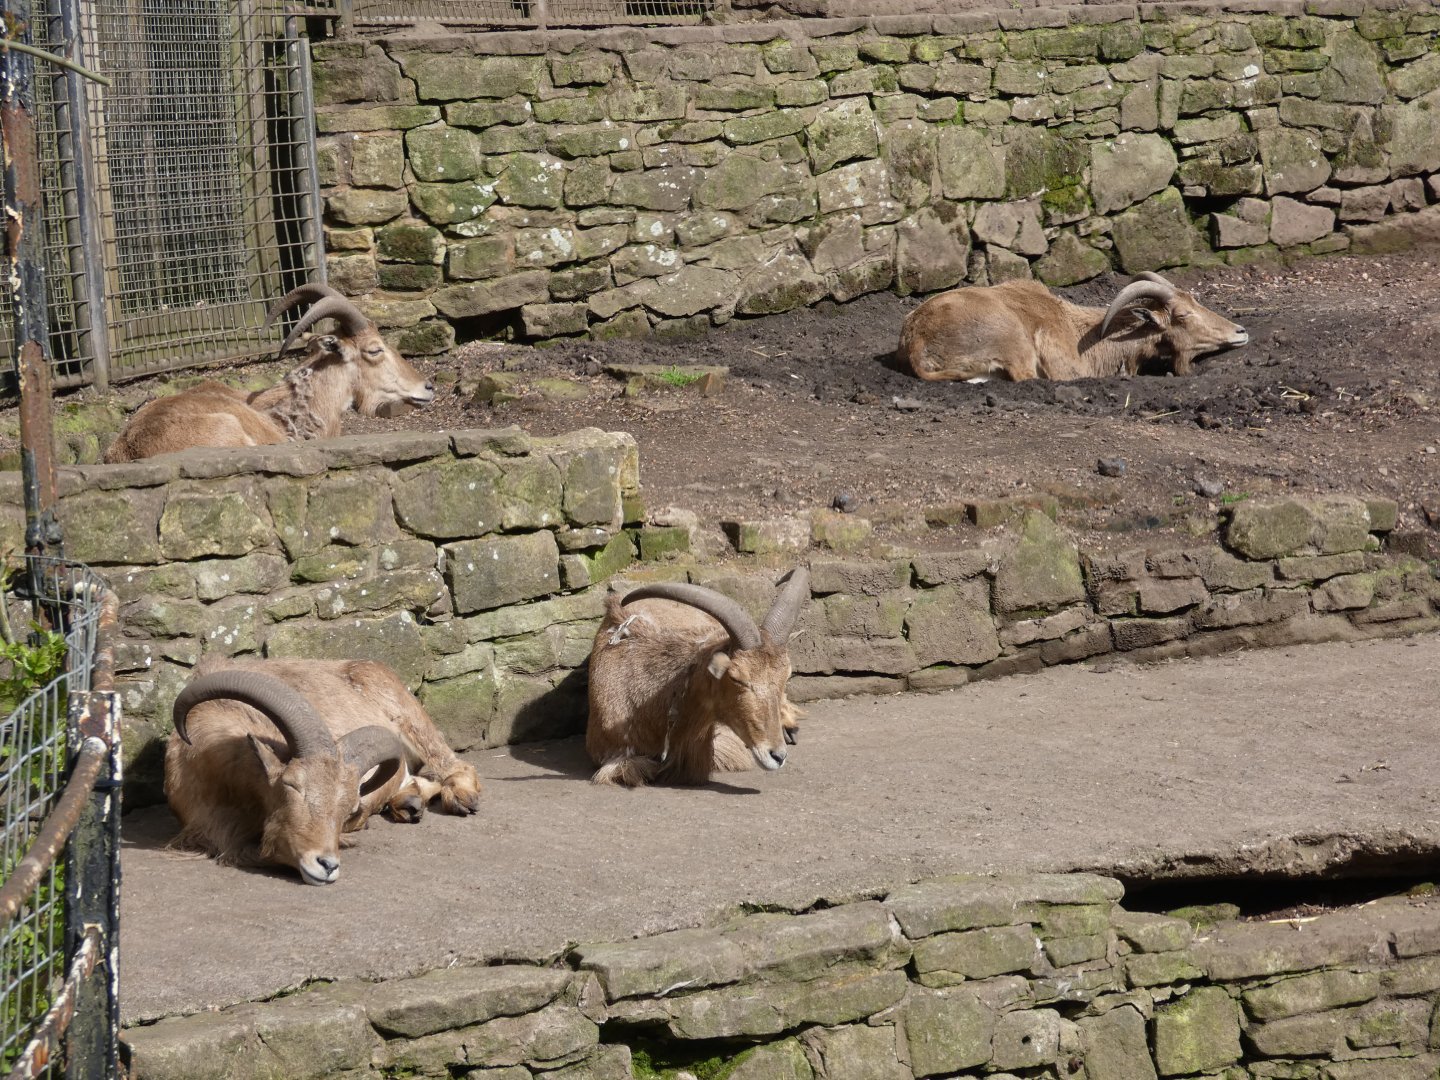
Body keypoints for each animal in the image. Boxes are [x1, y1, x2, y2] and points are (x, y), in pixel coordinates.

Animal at [164, 657, 481, 885]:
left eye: (349, 807)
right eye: (291, 785)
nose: (327, 865)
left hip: (409, 717)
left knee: (455, 765)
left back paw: (460, 799)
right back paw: (408, 804)